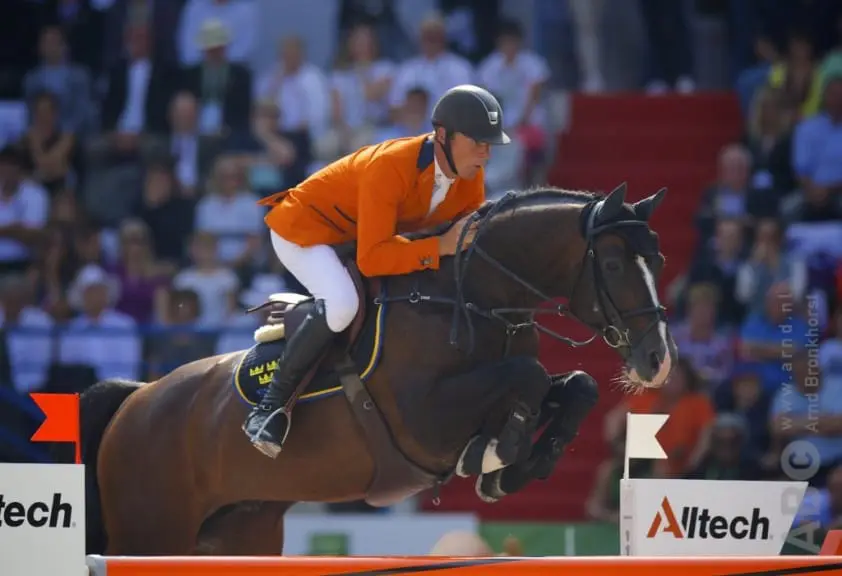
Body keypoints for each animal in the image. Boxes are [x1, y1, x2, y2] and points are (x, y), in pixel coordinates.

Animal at [68, 181, 677, 555]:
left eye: (659, 259)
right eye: (615, 264)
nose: (658, 361)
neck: (477, 298)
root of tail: (135, 398)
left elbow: (576, 385)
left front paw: (520, 466)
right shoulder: (425, 421)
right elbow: (525, 376)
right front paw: (495, 457)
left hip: (237, 532)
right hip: (153, 530)